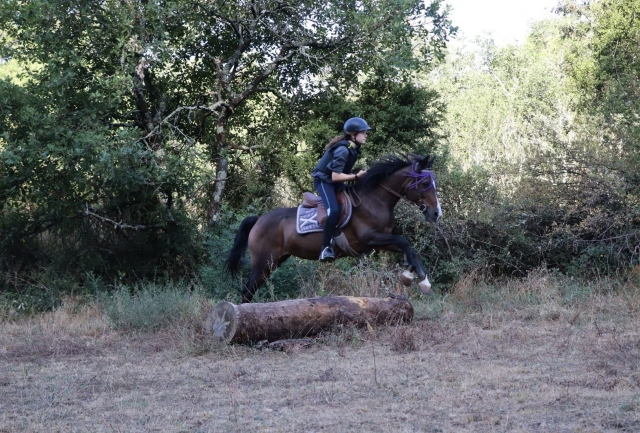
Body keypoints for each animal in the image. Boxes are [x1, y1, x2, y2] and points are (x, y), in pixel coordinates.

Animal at [225, 153, 442, 303]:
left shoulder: (381, 241)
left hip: (274, 262)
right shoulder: (369, 239)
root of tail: (259, 219)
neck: (375, 200)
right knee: (247, 291)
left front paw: (412, 276)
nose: (436, 213)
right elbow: (404, 242)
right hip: (263, 263)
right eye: (424, 183)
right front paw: (422, 280)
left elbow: (408, 248)